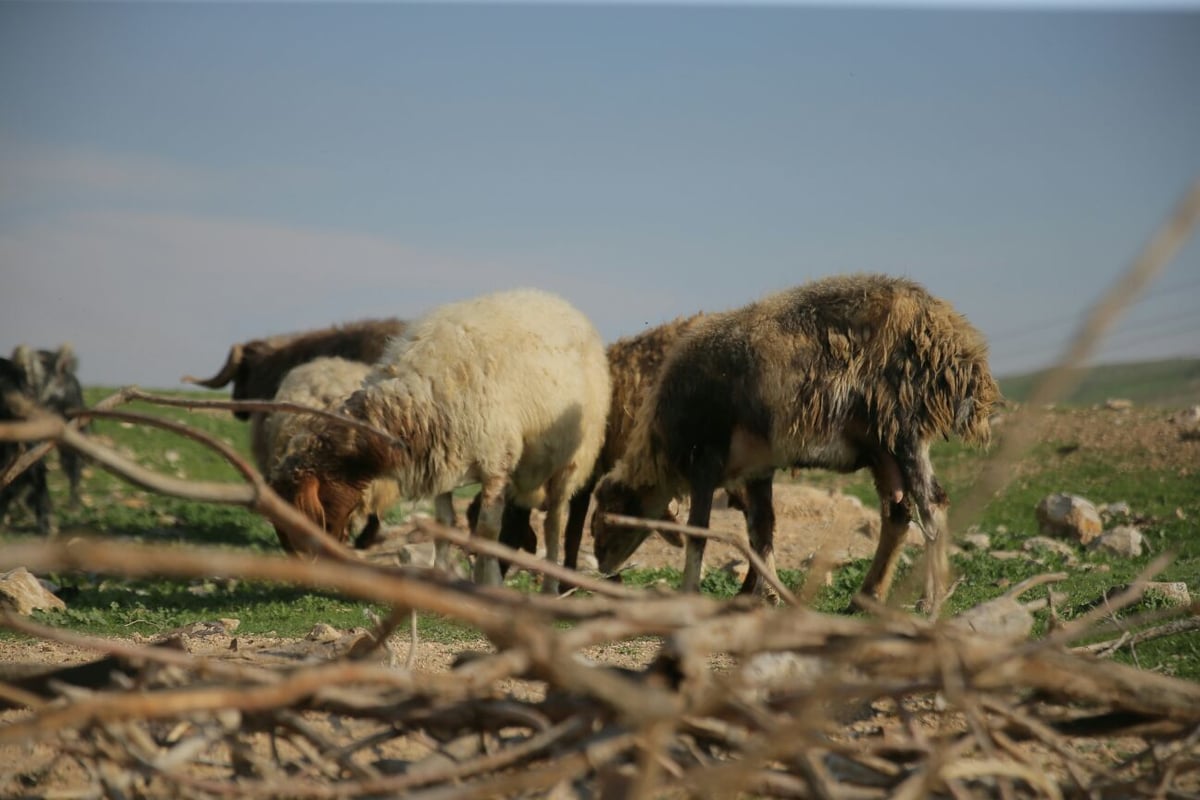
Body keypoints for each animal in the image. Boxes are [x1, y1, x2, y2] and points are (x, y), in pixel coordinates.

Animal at [592, 275, 1003, 606]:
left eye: (607, 517)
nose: (602, 566)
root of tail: (956, 342)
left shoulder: (705, 460)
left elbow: (700, 535)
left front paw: (691, 593)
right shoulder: (756, 469)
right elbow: (761, 533)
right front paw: (766, 595)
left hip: (906, 430)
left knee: (932, 506)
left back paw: (930, 601)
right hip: (881, 448)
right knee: (898, 514)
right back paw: (866, 597)